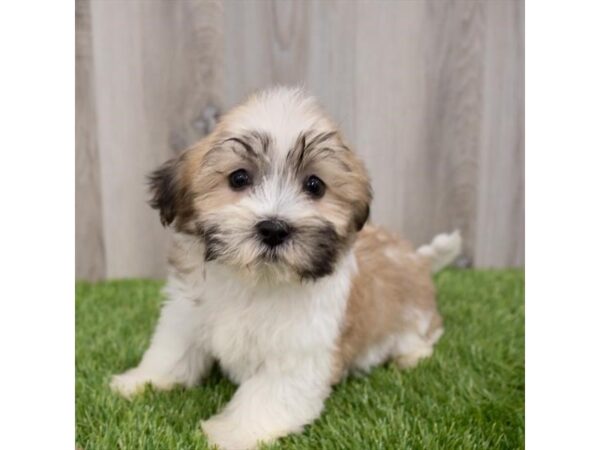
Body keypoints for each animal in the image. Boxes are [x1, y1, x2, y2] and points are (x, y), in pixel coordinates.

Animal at [110, 86, 462, 448]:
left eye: (315, 185)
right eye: (239, 178)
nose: (274, 229)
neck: (254, 280)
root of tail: (417, 259)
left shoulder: (298, 351)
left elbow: (266, 396)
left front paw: (230, 433)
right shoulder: (188, 313)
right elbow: (173, 350)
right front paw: (142, 381)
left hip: (413, 319)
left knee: (425, 335)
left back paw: (410, 356)